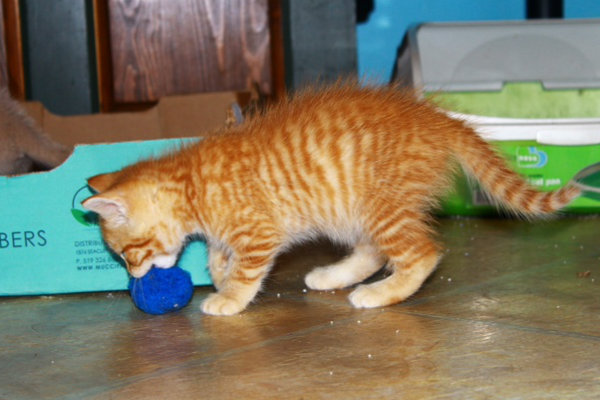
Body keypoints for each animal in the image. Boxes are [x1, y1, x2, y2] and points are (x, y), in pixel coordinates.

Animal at [82, 83, 580, 316]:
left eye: (126, 253)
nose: (133, 276)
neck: (191, 182)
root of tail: (440, 120)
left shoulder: (259, 231)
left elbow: (247, 268)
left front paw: (230, 297)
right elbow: (219, 256)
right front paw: (220, 275)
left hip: (380, 204)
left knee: (422, 252)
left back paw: (381, 293)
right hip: (353, 211)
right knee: (376, 251)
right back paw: (334, 276)